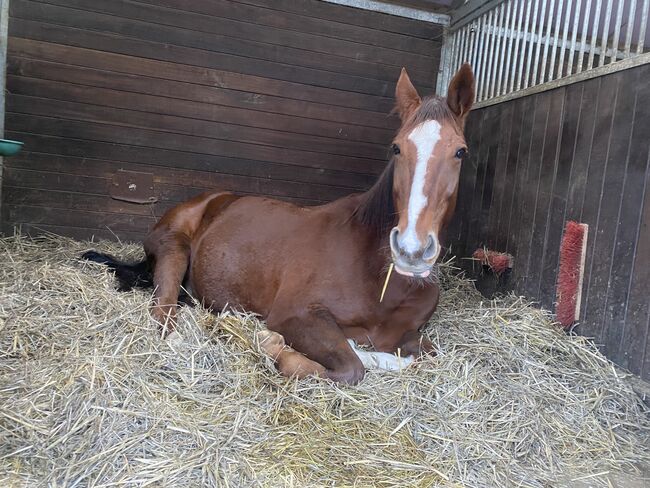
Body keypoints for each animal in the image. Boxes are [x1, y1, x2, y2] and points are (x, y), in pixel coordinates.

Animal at [83, 65, 474, 386]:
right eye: (396, 148)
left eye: (460, 152)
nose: (411, 250)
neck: (382, 282)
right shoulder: (294, 315)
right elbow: (351, 367)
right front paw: (273, 344)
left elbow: (421, 355)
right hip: (173, 250)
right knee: (163, 311)